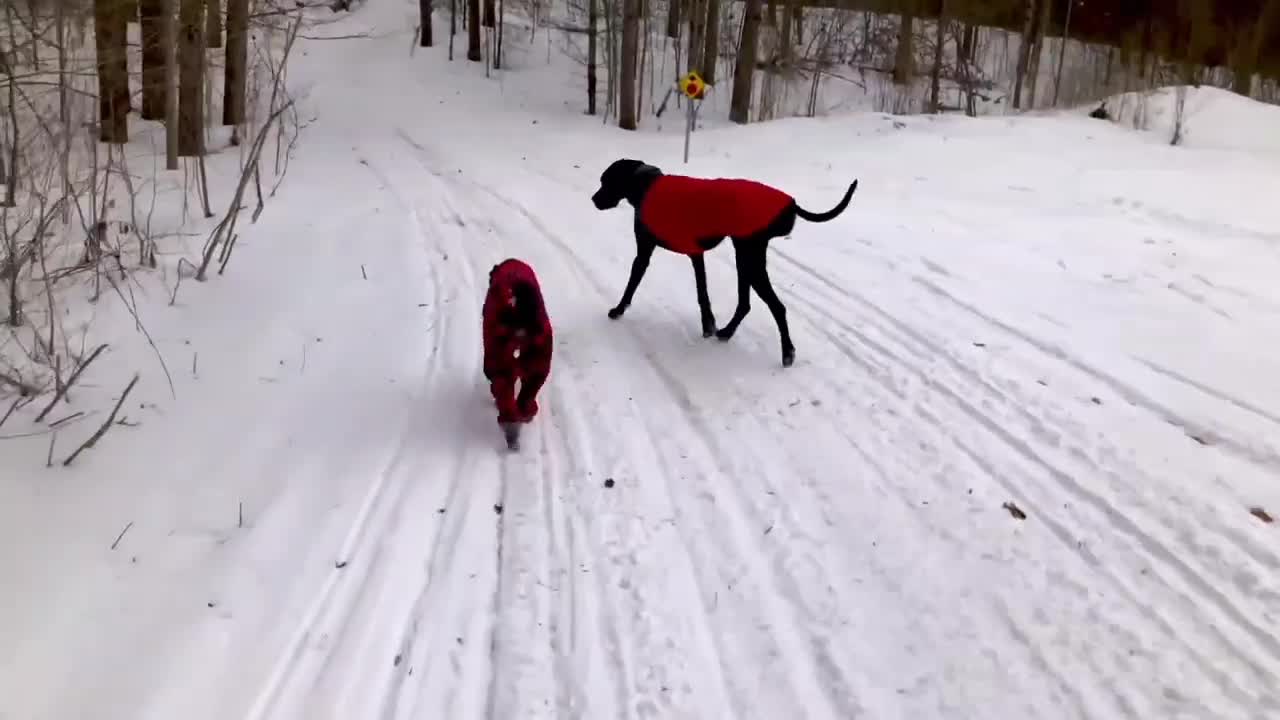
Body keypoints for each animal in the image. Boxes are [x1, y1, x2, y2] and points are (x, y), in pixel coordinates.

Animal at [591, 158, 860, 366]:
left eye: (606, 181)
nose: (594, 199)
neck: (646, 187)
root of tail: (791, 203)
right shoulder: (681, 253)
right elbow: (698, 292)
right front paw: (710, 326)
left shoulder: (668, 253)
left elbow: (645, 285)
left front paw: (618, 310)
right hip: (746, 257)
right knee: (746, 304)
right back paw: (728, 332)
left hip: (749, 258)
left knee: (777, 306)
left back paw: (787, 352)